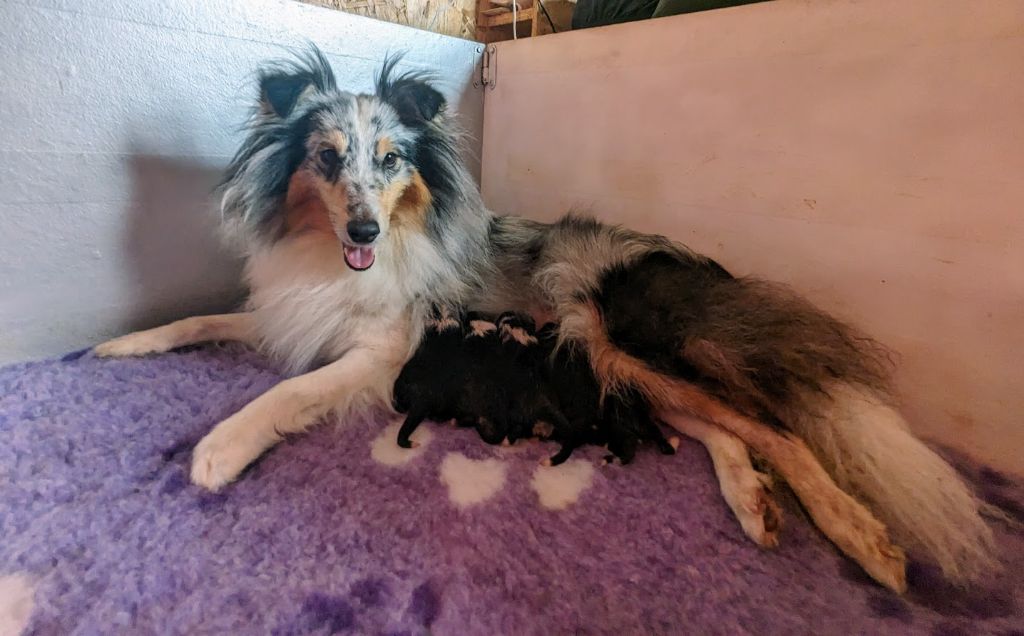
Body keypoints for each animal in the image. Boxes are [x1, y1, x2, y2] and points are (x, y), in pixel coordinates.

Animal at [94, 47, 991, 594]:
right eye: (325, 158)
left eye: (391, 160)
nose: (365, 233)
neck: (329, 258)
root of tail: (692, 266)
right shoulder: (291, 311)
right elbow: (196, 318)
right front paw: (120, 343)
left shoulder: (381, 351)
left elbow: (282, 396)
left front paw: (218, 450)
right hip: (612, 365)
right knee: (723, 431)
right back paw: (751, 501)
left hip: (615, 335)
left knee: (780, 431)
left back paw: (862, 537)